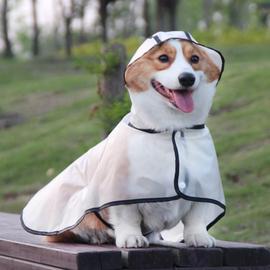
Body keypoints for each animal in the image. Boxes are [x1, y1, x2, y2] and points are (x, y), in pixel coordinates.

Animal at [21, 30, 225, 248]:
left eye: (195, 59)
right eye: (163, 58)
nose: (187, 78)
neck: (171, 128)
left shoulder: (201, 187)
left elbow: (195, 217)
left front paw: (199, 237)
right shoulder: (120, 191)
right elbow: (128, 216)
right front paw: (131, 237)